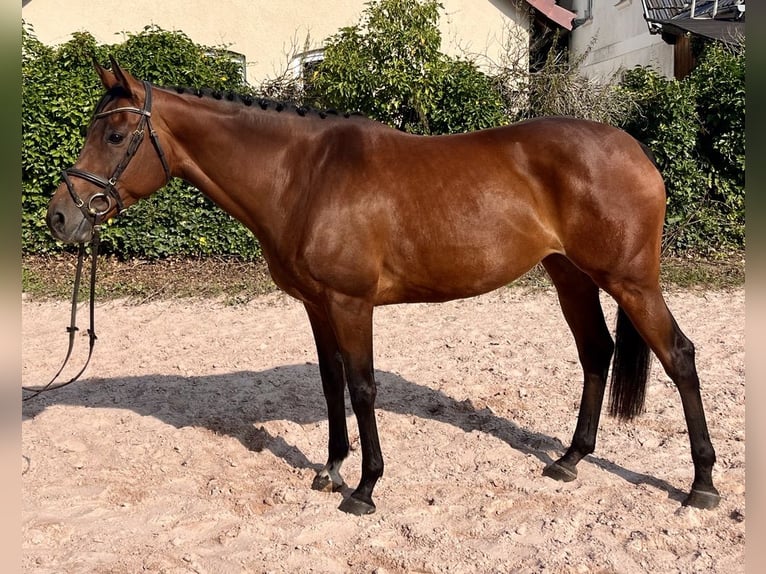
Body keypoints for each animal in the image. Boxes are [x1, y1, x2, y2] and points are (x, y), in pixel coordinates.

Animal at [46, 57, 720, 516]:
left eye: (113, 136)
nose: (59, 217)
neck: (303, 177)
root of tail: (634, 150)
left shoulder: (352, 304)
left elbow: (363, 386)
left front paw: (366, 488)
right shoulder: (317, 307)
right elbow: (331, 385)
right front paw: (330, 469)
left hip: (630, 281)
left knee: (679, 356)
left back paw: (702, 485)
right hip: (570, 276)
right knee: (596, 353)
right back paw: (570, 459)